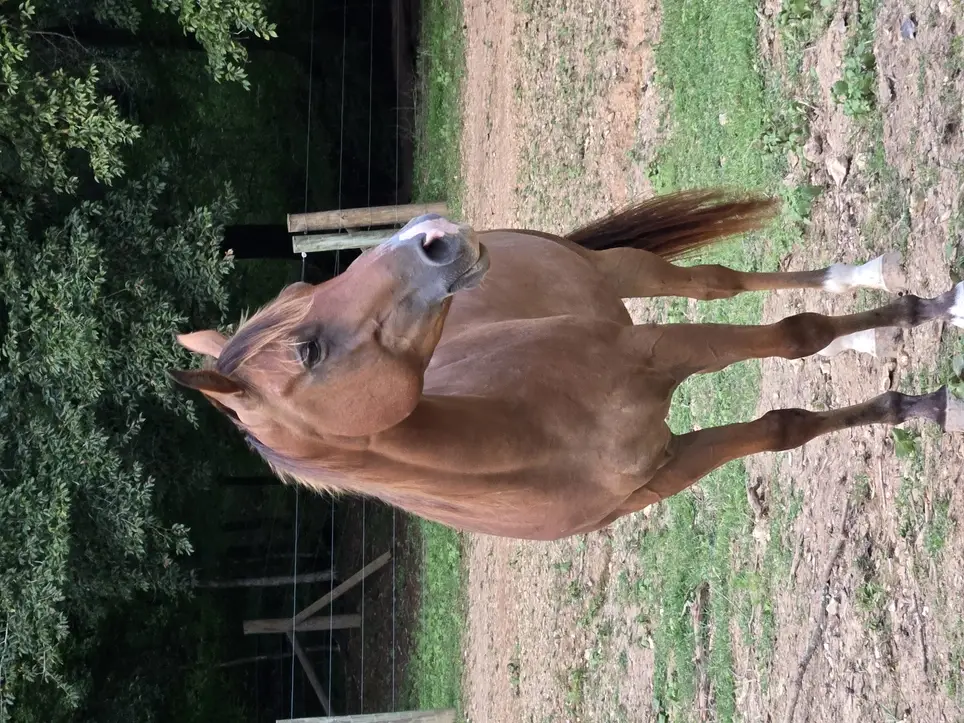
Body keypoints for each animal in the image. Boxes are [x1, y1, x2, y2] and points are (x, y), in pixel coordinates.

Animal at [170, 189, 964, 541]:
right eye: (309, 350)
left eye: (300, 292)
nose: (427, 235)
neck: (534, 438)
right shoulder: (672, 465)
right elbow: (786, 425)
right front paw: (917, 400)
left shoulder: (661, 352)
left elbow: (798, 335)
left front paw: (932, 322)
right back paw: (870, 336)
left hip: (620, 271)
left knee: (719, 284)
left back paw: (868, 278)